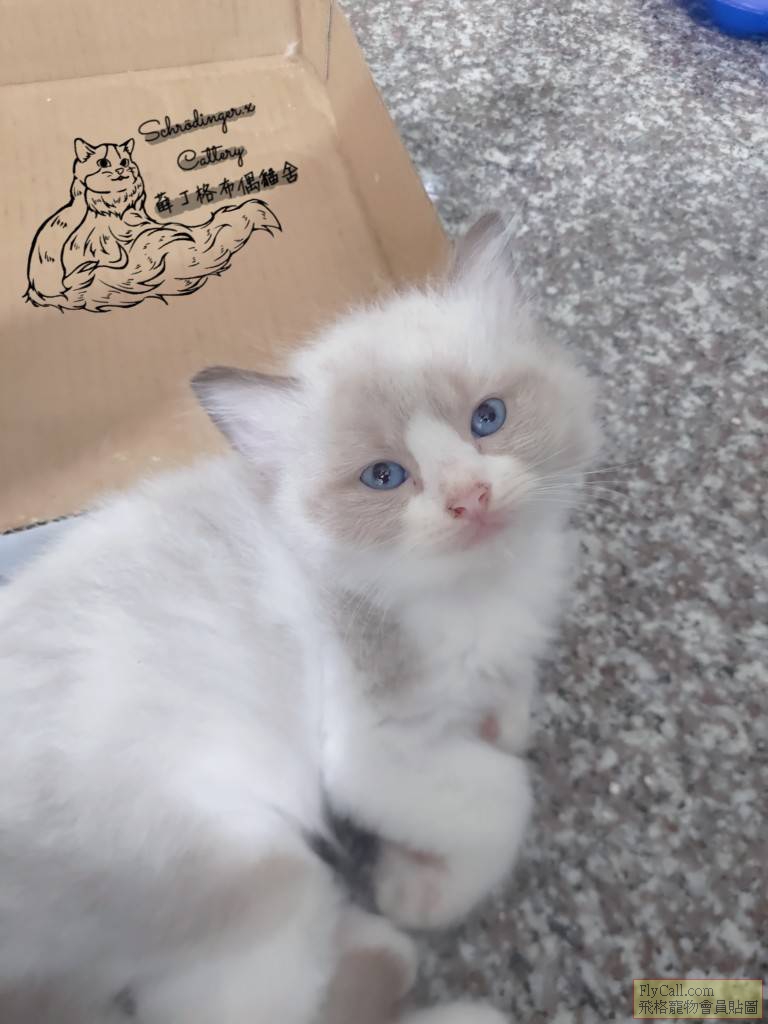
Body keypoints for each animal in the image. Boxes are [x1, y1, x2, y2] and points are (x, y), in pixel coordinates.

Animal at [0, 214, 599, 1023]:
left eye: (488, 419)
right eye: (384, 477)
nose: (469, 499)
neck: (480, 591)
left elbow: (509, 717)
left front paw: (491, 730)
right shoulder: (371, 753)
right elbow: (504, 794)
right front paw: (424, 890)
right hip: (259, 861)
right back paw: (432, 983)